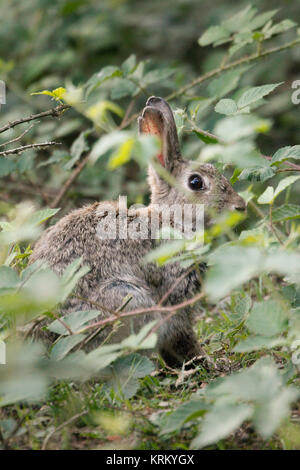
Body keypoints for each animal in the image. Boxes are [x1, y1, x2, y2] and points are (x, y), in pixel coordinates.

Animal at [29, 95, 246, 368]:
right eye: (196, 182)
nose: (241, 206)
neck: (170, 221)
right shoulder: (172, 295)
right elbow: (181, 336)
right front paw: (203, 363)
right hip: (127, 298)